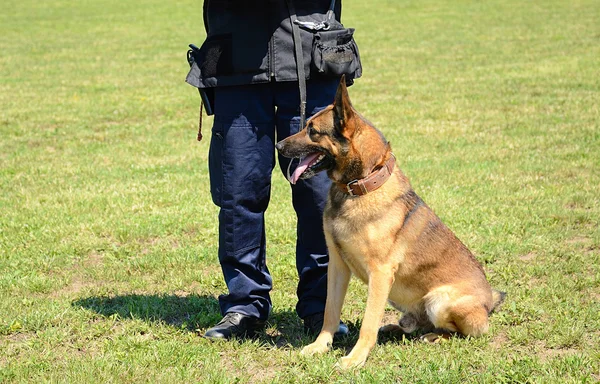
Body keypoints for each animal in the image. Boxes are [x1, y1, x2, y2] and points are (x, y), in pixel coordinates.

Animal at [276, 76, 506, 368]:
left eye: (313, 131)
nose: (278, 146)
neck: (359, 185)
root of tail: (488, 303)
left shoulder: (380, 273)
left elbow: (368, 323)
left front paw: (355, 359)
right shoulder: (338, 266)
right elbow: (330, 311)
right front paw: (320, 346)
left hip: (439, 300)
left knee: (458, 332)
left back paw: (434, 337)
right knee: (415, 324)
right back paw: (398, 328)